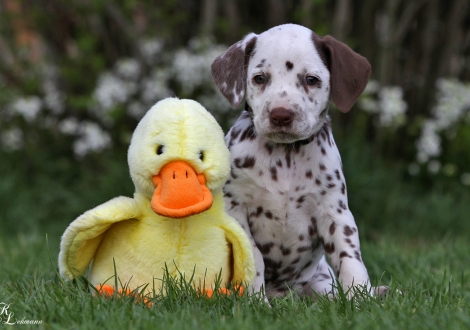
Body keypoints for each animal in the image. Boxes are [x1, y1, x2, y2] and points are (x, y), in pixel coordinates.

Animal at [213, 22, 386, 296]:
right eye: (260, 78)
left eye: (311, 80)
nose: (281, 114)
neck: (286, 156)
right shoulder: (236, 209)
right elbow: (254, 258)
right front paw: (255, 300)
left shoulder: (335, 213)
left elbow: (350, 259)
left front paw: (361, 297)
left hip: (320, 283)